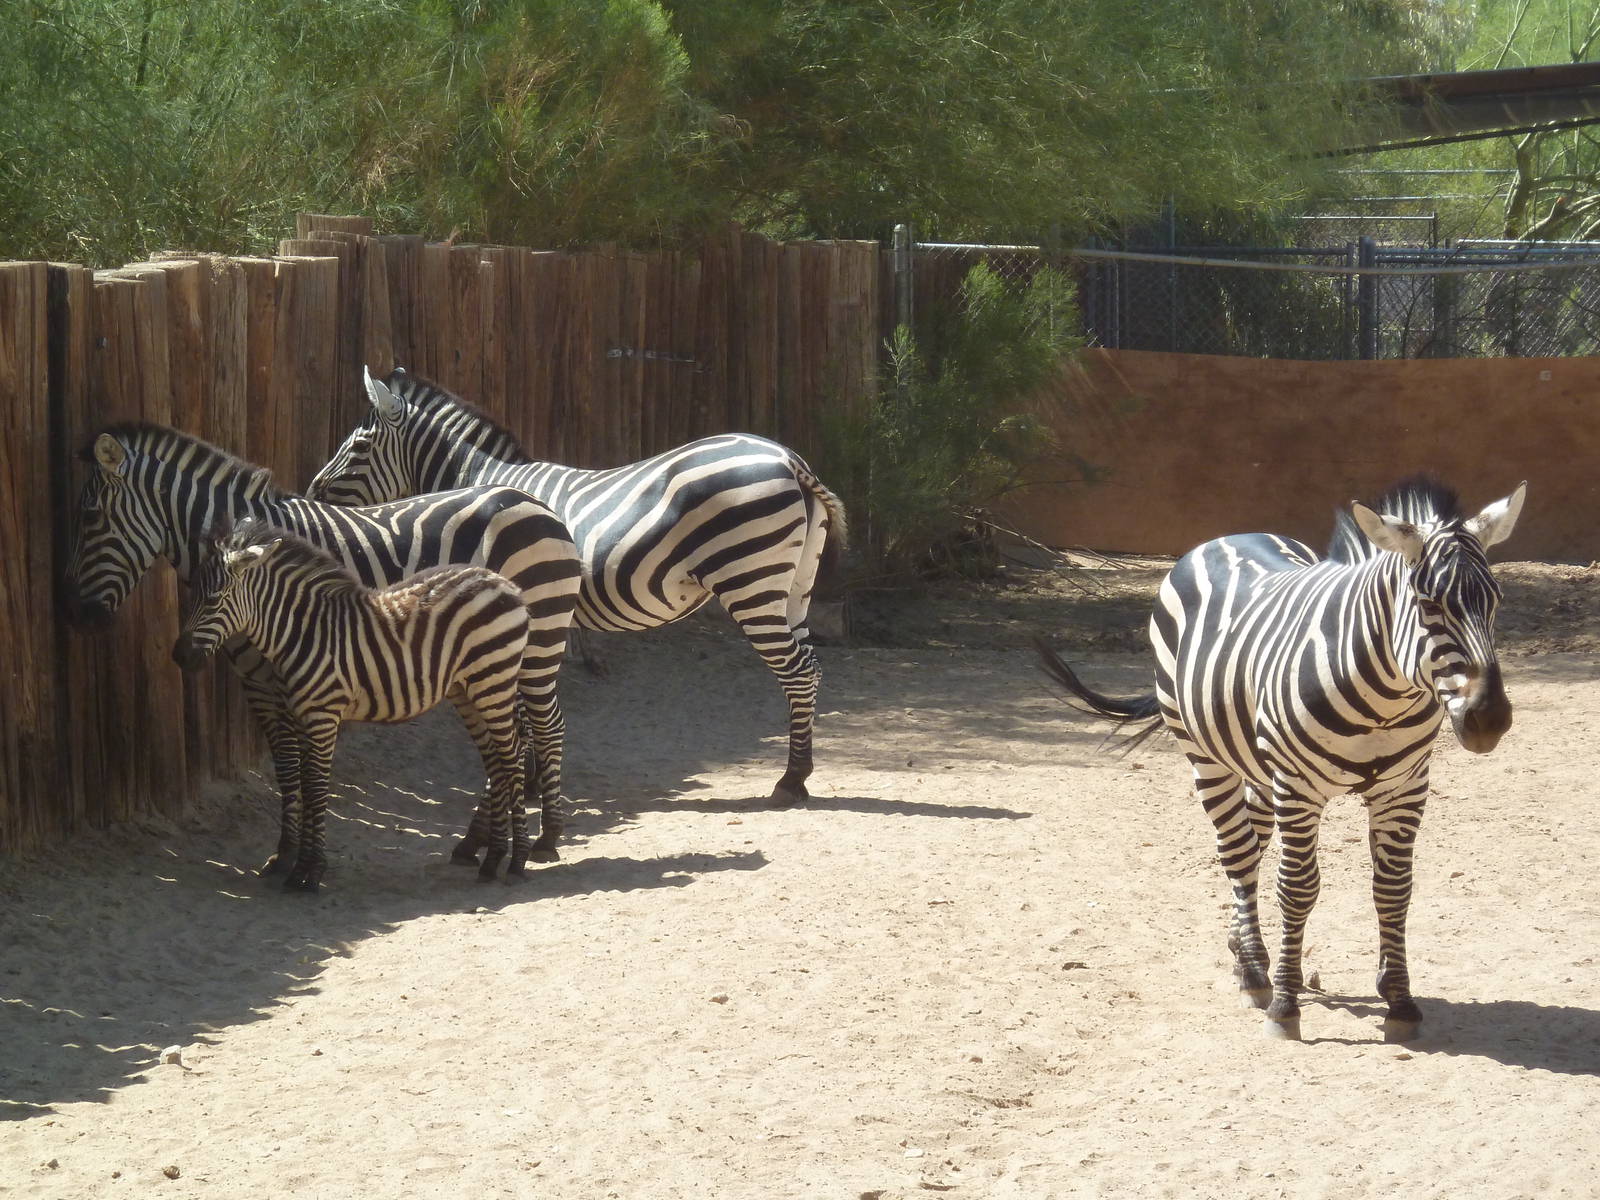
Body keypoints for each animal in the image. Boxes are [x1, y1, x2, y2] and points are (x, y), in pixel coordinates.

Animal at [173, 518, 533, 891]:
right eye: (191, 593)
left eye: (213, 599)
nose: (179, 656)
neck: (302, 634)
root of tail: (503, 582)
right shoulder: (301, 714)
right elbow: (303, 784)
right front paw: (299, 865)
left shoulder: (323, 715)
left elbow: (316, 788)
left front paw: (309, 872)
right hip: (469, 689)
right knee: (496, 761)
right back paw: (492, 859)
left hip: (494, 681)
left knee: (511, 757)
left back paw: (517, 859)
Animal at [306, 366, 848, 805]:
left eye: (358, 446)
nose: (312, 490)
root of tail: (787, 459)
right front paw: (529, 781)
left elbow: (523, 706)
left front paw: (523, 785)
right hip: (794, 587)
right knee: (813, 668)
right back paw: (801, 773)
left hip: (750, 581)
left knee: (797, 672)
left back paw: (790, 781)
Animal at [1035, 475, 1526, 1041]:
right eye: (1428, 603)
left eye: (1495, 601)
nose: (1490, 719)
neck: (1384, 698)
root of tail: (1226, 537)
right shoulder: (1297, 787)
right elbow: (1297, 888)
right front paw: (1286, 1007)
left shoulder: (1404, 788)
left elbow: (1393, 890)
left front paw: (1400, 1002)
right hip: (1206, 757)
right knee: (1238, 853)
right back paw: (1253, 972)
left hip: (1255, 765)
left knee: (1252, 842)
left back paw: (1244, 952)